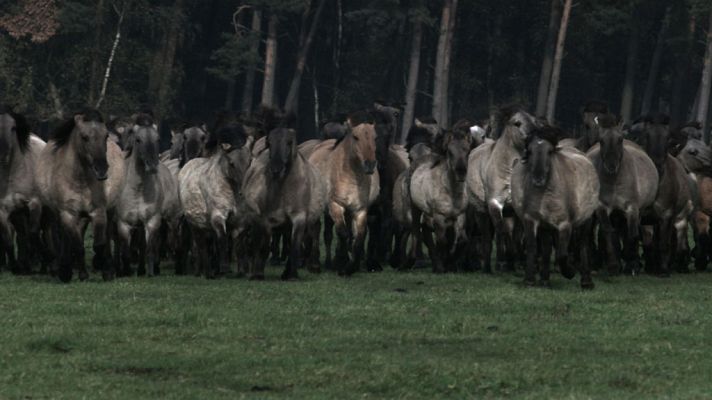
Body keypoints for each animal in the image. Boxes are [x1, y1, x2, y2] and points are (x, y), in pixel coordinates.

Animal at [37, 109, 125, 282]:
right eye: (84, 137)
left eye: (106, 136)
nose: (102, 169)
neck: (80, 180)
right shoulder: (68, 214)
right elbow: (77, 245)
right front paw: (74, 273)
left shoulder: (98, 212)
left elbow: (99, 244)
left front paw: (101, 265)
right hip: (62, 214)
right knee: (66, 237)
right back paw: (66, 269)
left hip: (108, 211)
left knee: (106, 235)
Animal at [114, 113, 181, 277]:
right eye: (138, 139)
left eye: (157, 139)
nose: (152, 166)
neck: (138, 190)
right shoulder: (124, 224)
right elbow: (126, 252)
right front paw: (126, 272)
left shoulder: (152, 222)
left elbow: (151, 250)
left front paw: (150, 273)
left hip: (172, 219)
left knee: (173, 243)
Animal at [511, 126, 599, 288]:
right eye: (530, 151)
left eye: (550, 151)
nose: (538, 179)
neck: (545, 194)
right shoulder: (531, 219)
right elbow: (532, 247)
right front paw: (529, 280)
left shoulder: (565, 225)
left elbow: (562, 254)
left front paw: (570, 272)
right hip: (546, 225)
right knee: (546, 248)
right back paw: (545, 279)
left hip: (586, 220)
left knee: (584, 244)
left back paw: (586, 281)